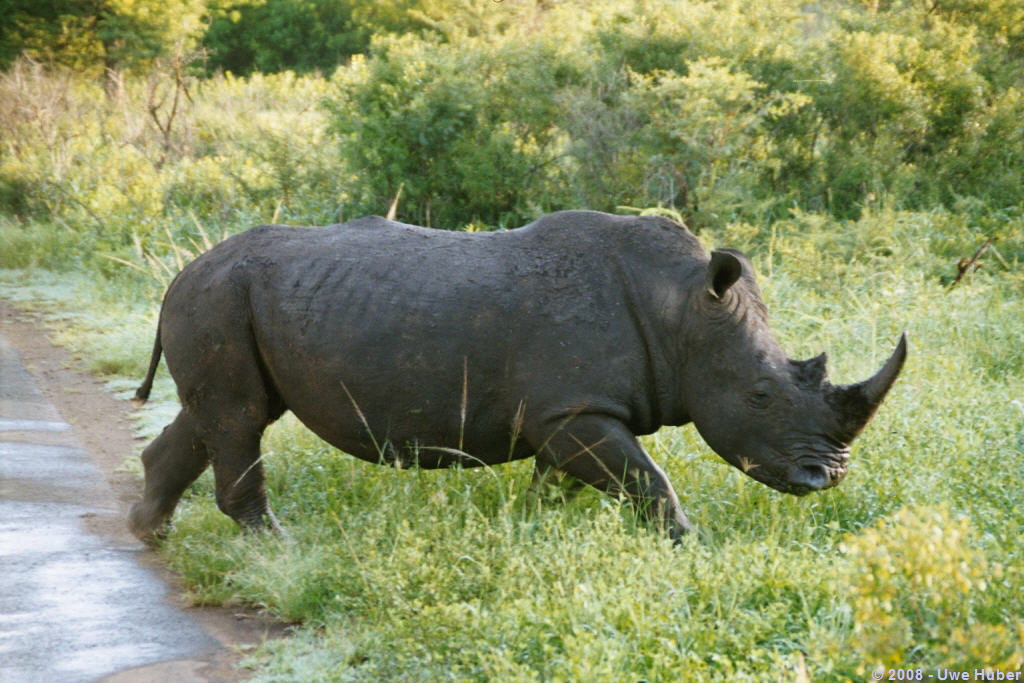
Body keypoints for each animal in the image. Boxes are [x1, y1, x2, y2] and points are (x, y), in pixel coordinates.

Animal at [129, 210, 906, 543]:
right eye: (760, 395)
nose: (828, 477)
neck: (681, 309)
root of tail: (178, 275)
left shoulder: (565, 412)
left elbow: (560, 483)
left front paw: (532, 533)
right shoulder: (576, 409)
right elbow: (649, 479)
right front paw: (691, 544)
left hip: (225, 302)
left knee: (218, 417)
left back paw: (148, 531)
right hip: (220, 298)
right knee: (238, 419)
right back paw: (274, 547)